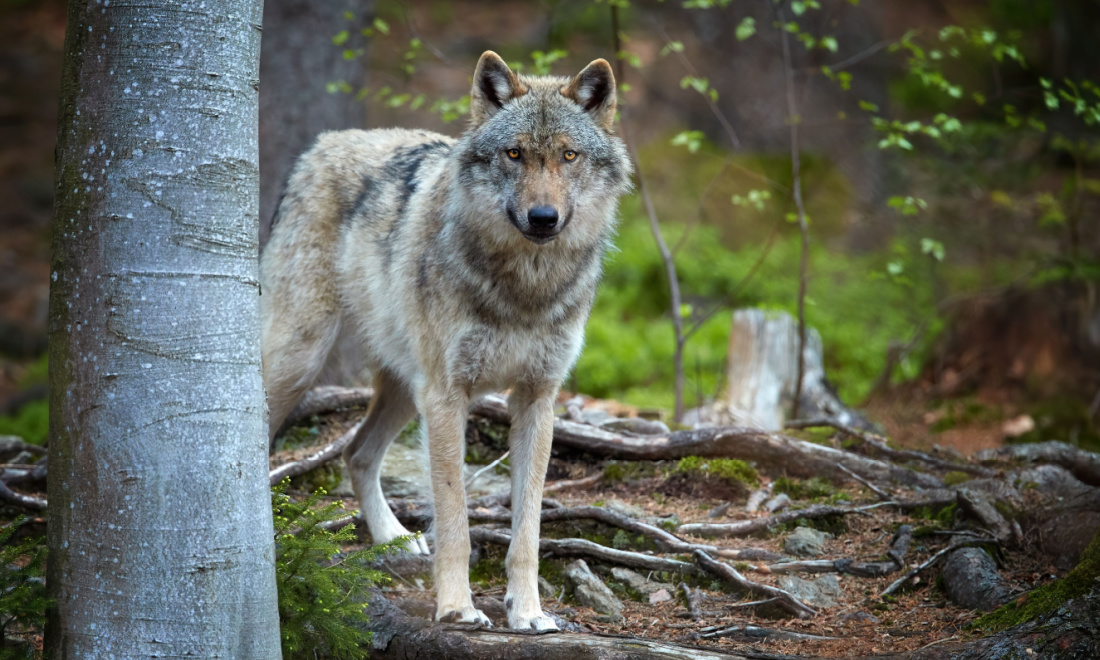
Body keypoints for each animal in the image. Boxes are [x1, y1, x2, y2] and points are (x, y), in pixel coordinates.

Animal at [258, 51, 633, 629]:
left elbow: (529, 528)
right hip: (303, 360)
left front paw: (528, 612)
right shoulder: (448, 396)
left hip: (403, 389)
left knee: (357, 453)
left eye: (568, 156)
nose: (543, 218)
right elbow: (455, 517)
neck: (525, 287)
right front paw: (457, 607)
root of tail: (321, 143)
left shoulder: (538, 399)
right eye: (514, 154)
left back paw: (393, 537)